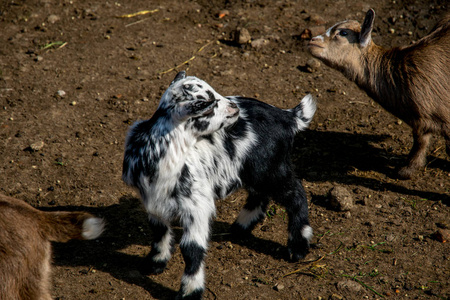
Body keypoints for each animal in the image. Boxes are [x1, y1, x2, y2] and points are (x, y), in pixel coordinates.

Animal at [121, 71, 314, 298]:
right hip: (257, 171)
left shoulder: (196, 206)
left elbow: (192, 248)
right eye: (207, 104)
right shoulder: (154, 202)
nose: (234, 107)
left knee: (296, 196)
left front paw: (190, 291)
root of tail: (287, 116)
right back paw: (241, 227)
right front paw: (155, 263)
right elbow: (159, 232)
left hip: (271, 169)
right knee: (260, 194)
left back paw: (298, 248)